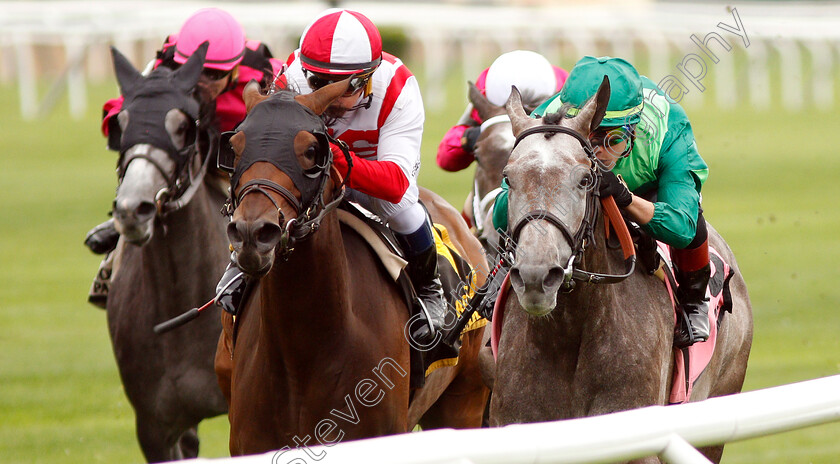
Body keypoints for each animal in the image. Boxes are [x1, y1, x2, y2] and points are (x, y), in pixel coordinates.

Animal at [217, 80, 488, 456]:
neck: (303, 353)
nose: (252, 233)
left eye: (311, 151)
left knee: (401, 206)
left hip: (463, 402)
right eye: (235, 147)